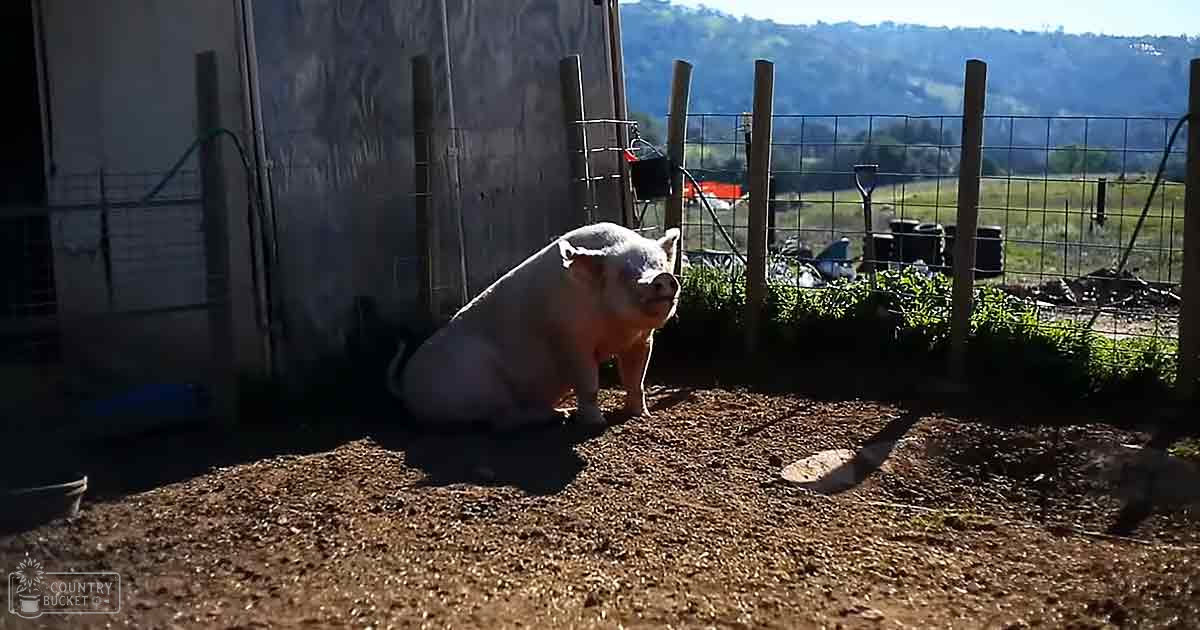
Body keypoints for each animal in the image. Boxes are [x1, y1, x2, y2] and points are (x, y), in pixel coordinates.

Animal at [386, 222, 682, 430]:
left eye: (660, 263)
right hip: (481, 385)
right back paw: (560, 416)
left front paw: (641, 414)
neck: (616, 327)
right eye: (624, 273)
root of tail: (408, 388)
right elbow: (588, 384)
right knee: (501, 422)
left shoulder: (642, 340)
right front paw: (595, 423)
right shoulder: (571, 340)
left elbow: (635, 379)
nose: (663, 277)